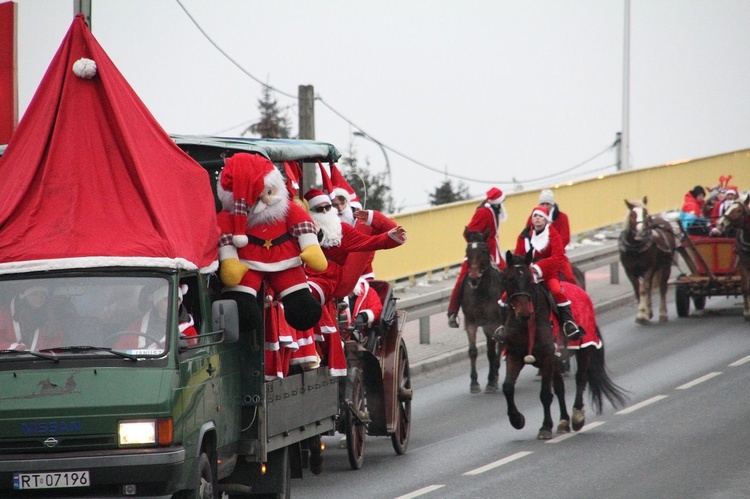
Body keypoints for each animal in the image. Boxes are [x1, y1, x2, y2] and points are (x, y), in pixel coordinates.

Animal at [458, 229, 506, 394]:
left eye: (484, 251)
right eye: (467, 251)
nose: (473, 278)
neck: (481, 292)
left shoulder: (492, 324)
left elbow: (492, 352)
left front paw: (491, 381)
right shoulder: (470, 323)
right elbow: (472, 351)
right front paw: (474, 383)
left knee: (499, 347)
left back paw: (495, 376)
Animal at [502, 252, 632, 440]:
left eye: (530, 279)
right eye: (509, 279)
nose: (524, 313)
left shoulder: (547, 357)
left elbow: (545, 394)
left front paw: (545, 427)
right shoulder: (514, 356)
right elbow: (507, 387)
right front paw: (516, 419)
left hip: (584, 350)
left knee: (580, 379)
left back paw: (577, 417)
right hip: (557, 360)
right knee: (560, 387)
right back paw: (563, 422)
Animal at [620, 197, 680, 326]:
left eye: (645, 213)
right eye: (632, 214)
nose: (640, 231)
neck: (635, 249)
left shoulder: (648, 269)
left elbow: (643, 289)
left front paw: (642, 315)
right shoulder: (629, 271)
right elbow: (638, 290)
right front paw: (645, 312)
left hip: (666, 266)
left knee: (662, 287)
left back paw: (663, 313)